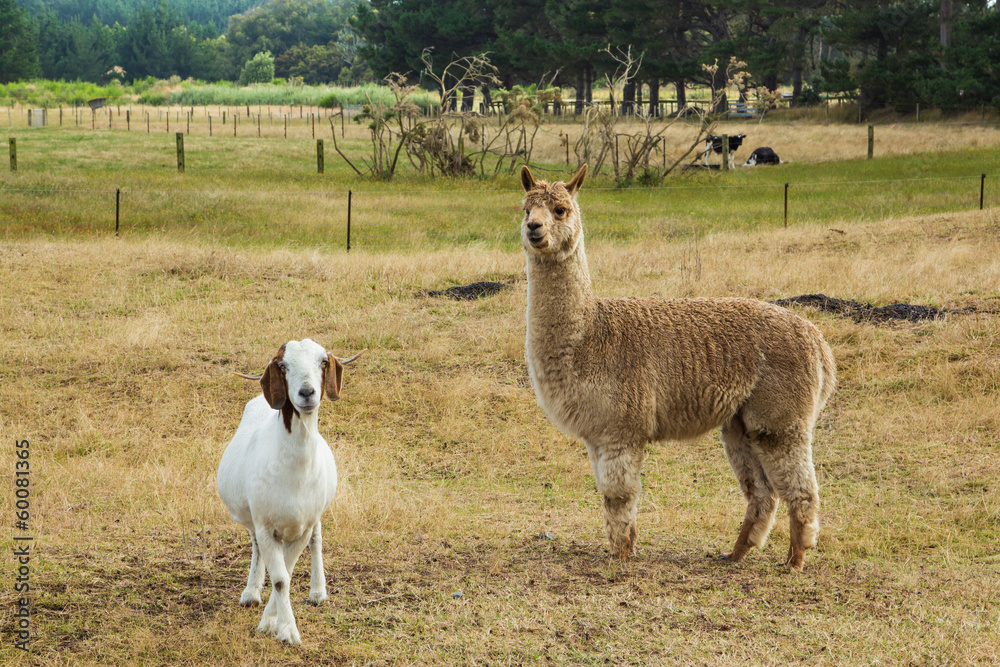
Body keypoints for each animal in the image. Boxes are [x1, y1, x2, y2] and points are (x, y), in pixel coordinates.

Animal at [217, 339, 364, 645]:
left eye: (323, 362)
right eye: (283, 366)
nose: (306, 392)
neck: (293, 473)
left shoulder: (303, 526)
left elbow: (289, 569)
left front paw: (274, 623)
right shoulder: (266, 526)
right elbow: (280, 577)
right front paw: (284, 628)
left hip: (315, 515)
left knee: (317, 540)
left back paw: (318, 591)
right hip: (253, 519)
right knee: (256, 547)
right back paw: (251, 592)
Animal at [520, 164, 836, 570]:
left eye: (561, 210)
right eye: (526, 209)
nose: (534, 229)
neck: (590, 336)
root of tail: (817, 340)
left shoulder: (622, 428)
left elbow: (619, 496)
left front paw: (620, 555)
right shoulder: (597, 433)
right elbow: (608, 493)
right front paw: (622, 547)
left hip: (781, 416)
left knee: (801, 488)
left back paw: (795, 560)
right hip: (740, 423)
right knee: (762, 492)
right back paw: (734, 554)